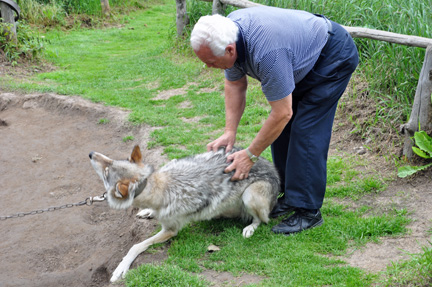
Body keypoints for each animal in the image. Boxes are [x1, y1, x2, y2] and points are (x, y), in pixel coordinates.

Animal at [89, 146, 282, 284]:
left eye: (106, 172)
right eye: (111, 162)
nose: (91, 153)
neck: (158, 188)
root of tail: (276, 173)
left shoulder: (170, 231)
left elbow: (135, 246)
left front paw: (121, 268)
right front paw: (147, 212)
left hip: (249, 196)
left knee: (262, 220)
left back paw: (250, 228)